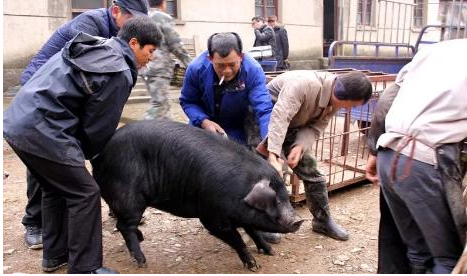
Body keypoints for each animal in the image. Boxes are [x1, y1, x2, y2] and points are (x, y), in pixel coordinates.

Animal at [91, 120, 304, 270]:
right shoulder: (211, 217)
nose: (298, 220)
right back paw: (142, 261)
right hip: (128, 196)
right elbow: (237, 238)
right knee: (124, 225)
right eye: (275, 200)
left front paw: (271, 252)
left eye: (285, 196)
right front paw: (254, 265)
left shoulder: (243, 215)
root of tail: (100, 154)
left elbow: (254, 231)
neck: (241, 189)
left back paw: (142, 238)